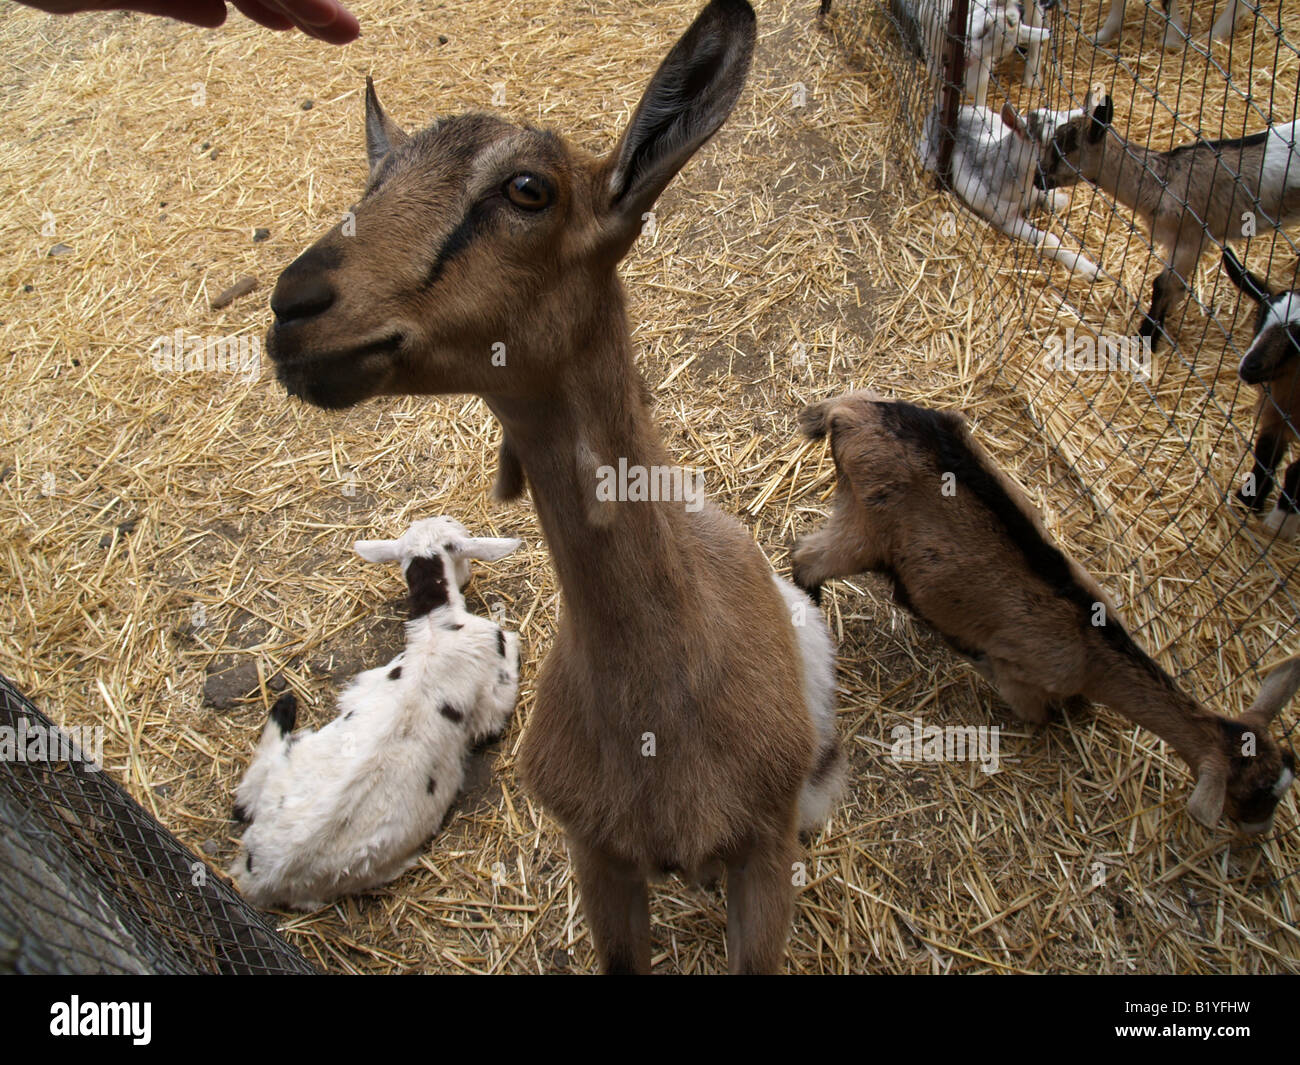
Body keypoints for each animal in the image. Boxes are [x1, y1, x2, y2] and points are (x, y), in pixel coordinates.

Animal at [263, 0, 844, 973]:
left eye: (529, 189)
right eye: (375, 177)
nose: (294, 307)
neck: (662, 718)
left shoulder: (760, 857)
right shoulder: (598, 854)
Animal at [791, 391, 1299, 833]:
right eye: (1253, 795)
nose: (1259, 831)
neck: (1090, 647)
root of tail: (846, 411)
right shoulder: (1020, 675)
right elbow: (1040, 712)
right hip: (865, 525)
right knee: (806, 560)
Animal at [1034, 92, 1300, 348]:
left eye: (1063, 149)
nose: (1038, 178)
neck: (1163, 183)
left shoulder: (1191, 239)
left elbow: (1163, 285)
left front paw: (1146, 337)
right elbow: (1172, 287)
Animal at [1222, 248, 1300, 538]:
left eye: (1298, 339)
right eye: (1259, 318)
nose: (1248, 366)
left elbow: (1295, 469)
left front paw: (1281, 523)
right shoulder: (1276, 413)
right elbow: (1266, 454)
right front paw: (1248, 500)